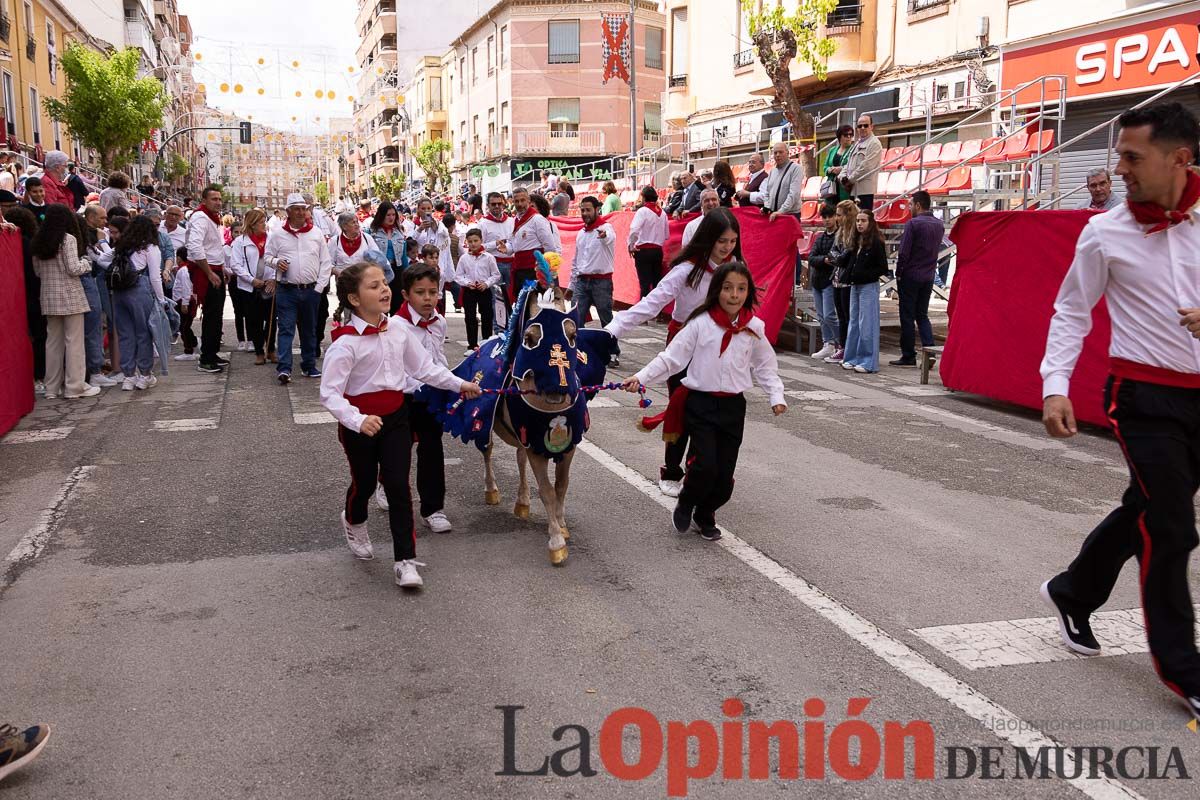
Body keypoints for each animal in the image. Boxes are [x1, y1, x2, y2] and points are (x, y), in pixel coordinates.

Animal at [436, 278, 614, 566]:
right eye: (529, 340)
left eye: (573, 336)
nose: (556, 388)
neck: (552, 411)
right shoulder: (537, 448)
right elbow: (547, 491)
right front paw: (556, 542)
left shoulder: (566, 446)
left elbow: (561, 486)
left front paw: (561, 524)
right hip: (489, 427)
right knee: (488, 452)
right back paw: (492, 490)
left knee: (519, 460)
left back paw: (522, 502)